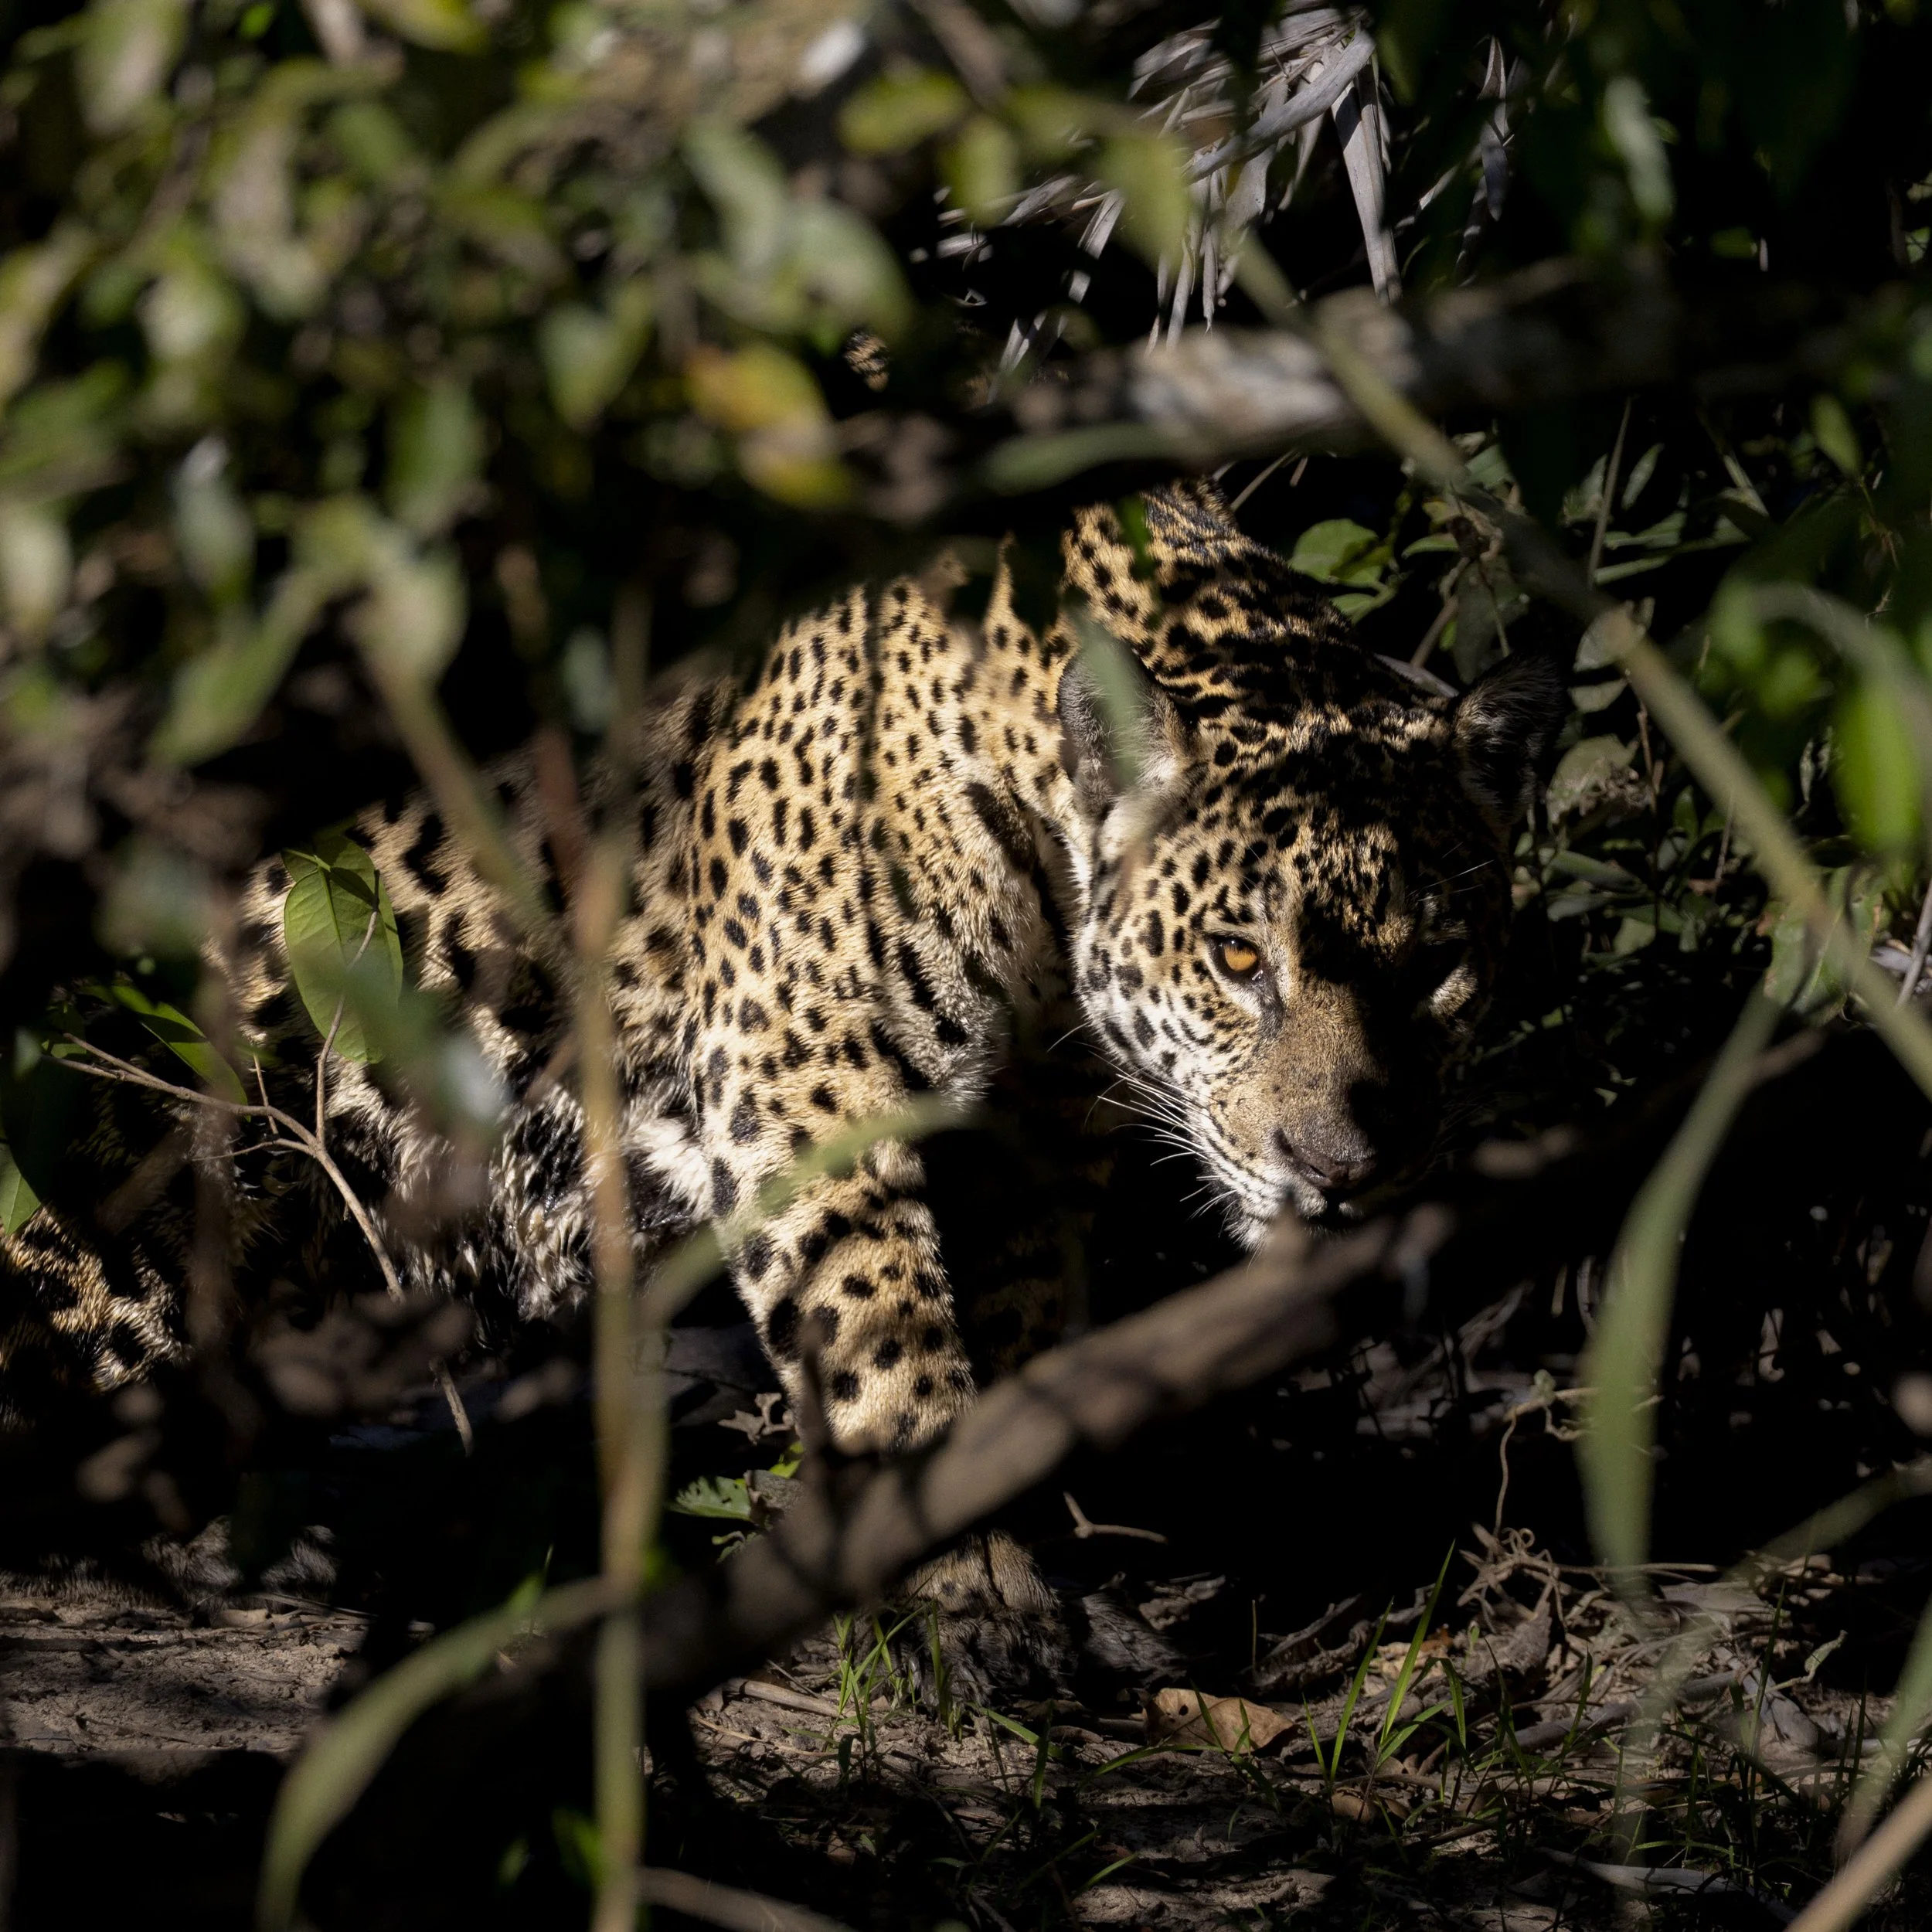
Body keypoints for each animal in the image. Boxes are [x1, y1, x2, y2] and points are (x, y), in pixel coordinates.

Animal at [0, 481, 1563, 1686]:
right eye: (1239, 958)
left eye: (1437, 967)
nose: (1344, 1168)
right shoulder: (811, 1072)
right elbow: (889, 1338)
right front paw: (968, 1590)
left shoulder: (1032, 1134)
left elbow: (1018, 1333)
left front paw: (1038, 1564)